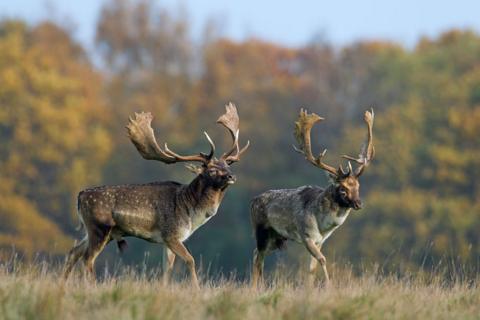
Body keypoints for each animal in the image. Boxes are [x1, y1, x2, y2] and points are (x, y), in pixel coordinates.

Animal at [63, 103, 249, 288]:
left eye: (227, 166)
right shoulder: (171, 234)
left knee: (74, 252)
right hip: (99, 227)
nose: (232, 176)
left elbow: (167, 268)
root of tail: (79, 196)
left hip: (96, 231)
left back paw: (63, 284)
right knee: (87, 258)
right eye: (212, 170)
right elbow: (190, 260)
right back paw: (91, 285)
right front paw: (196, 288)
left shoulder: (168, 241)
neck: (191, 212)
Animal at [251, 109, 376, 286]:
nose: (359, 203)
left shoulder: (321, 241)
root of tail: (252, 201)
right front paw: (329, 285)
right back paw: (255, 287)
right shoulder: (306, 236)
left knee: (256, 254)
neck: (323, 225)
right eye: (343, 189)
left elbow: (312, 268)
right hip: (261, 230)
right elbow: (322, 259)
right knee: (258, 257)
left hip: (277, 238)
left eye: (358, 186)